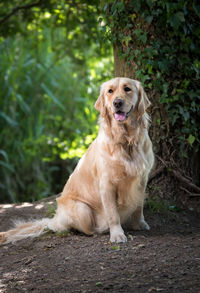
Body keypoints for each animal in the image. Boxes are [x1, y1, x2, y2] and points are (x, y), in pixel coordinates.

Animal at [0, 77, 154, 244]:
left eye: (127, 89)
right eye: (110, 91)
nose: (117, 103)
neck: (126, 141)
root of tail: (55, 218)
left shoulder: (142, 179)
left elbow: (138, 206)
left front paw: (139, 224)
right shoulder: (107, 184)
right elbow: (113, 214)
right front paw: (117, 234)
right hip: (82, 209)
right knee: (75, 228)